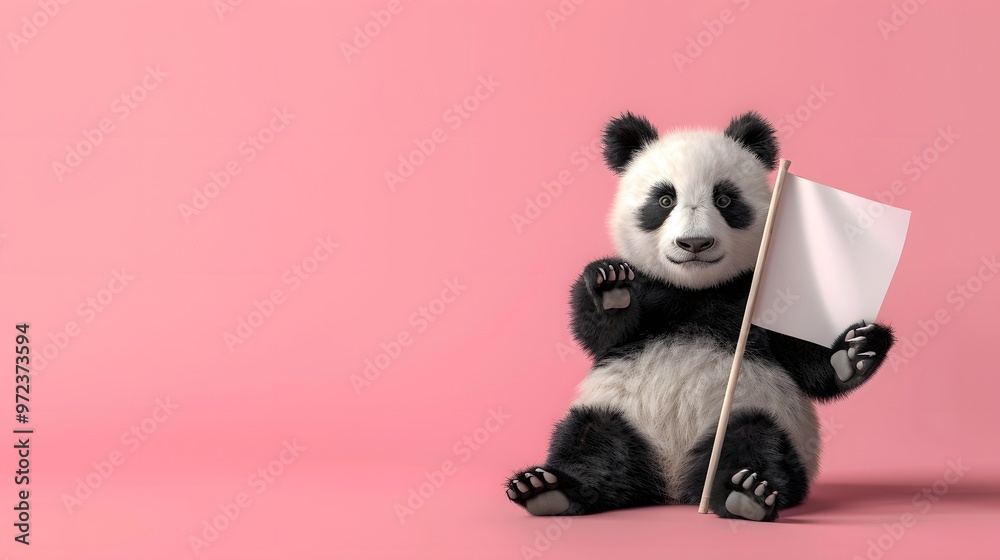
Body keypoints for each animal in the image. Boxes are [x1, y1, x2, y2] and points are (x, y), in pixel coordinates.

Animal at [505, 111, 895, 522]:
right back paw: (546, 488)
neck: (695, 290)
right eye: (664, 199)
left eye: (724, 199)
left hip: (762, 416)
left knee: (757, 439)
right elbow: (601, 336)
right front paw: (610, 286)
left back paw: (746, 494)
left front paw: (854, 353)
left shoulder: (760, 295)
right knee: (590, 437)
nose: (694, 243)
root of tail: (672, 483)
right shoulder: (651, 291)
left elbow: (805, 364)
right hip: (617, 413)